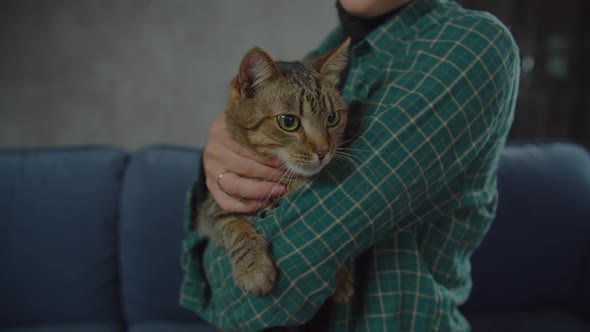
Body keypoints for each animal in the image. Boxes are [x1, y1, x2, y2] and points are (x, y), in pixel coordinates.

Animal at [194, 39, 354, 304]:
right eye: (288, 122)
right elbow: (234, 228)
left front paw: (340, 278)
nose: (324, 151)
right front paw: (253, 268)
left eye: (332, 118)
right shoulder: (213, 209)